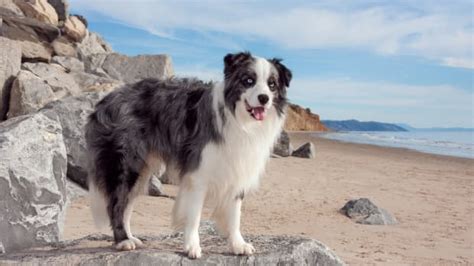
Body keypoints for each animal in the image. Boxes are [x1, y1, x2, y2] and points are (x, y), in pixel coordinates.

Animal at [85, 51, 292, 258]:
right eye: (248, 80)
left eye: (272, 84)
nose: (264, 98)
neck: (240, 122)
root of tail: (104, 101)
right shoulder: (198, 173)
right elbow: (194, 215)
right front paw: (192, 246)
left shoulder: (237, 169)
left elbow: (235, 214)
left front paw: (238, 245)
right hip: (126, 164)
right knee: (116, 204)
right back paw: (123, 241)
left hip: (142, 168)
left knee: (126, 205)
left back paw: (130, 237)